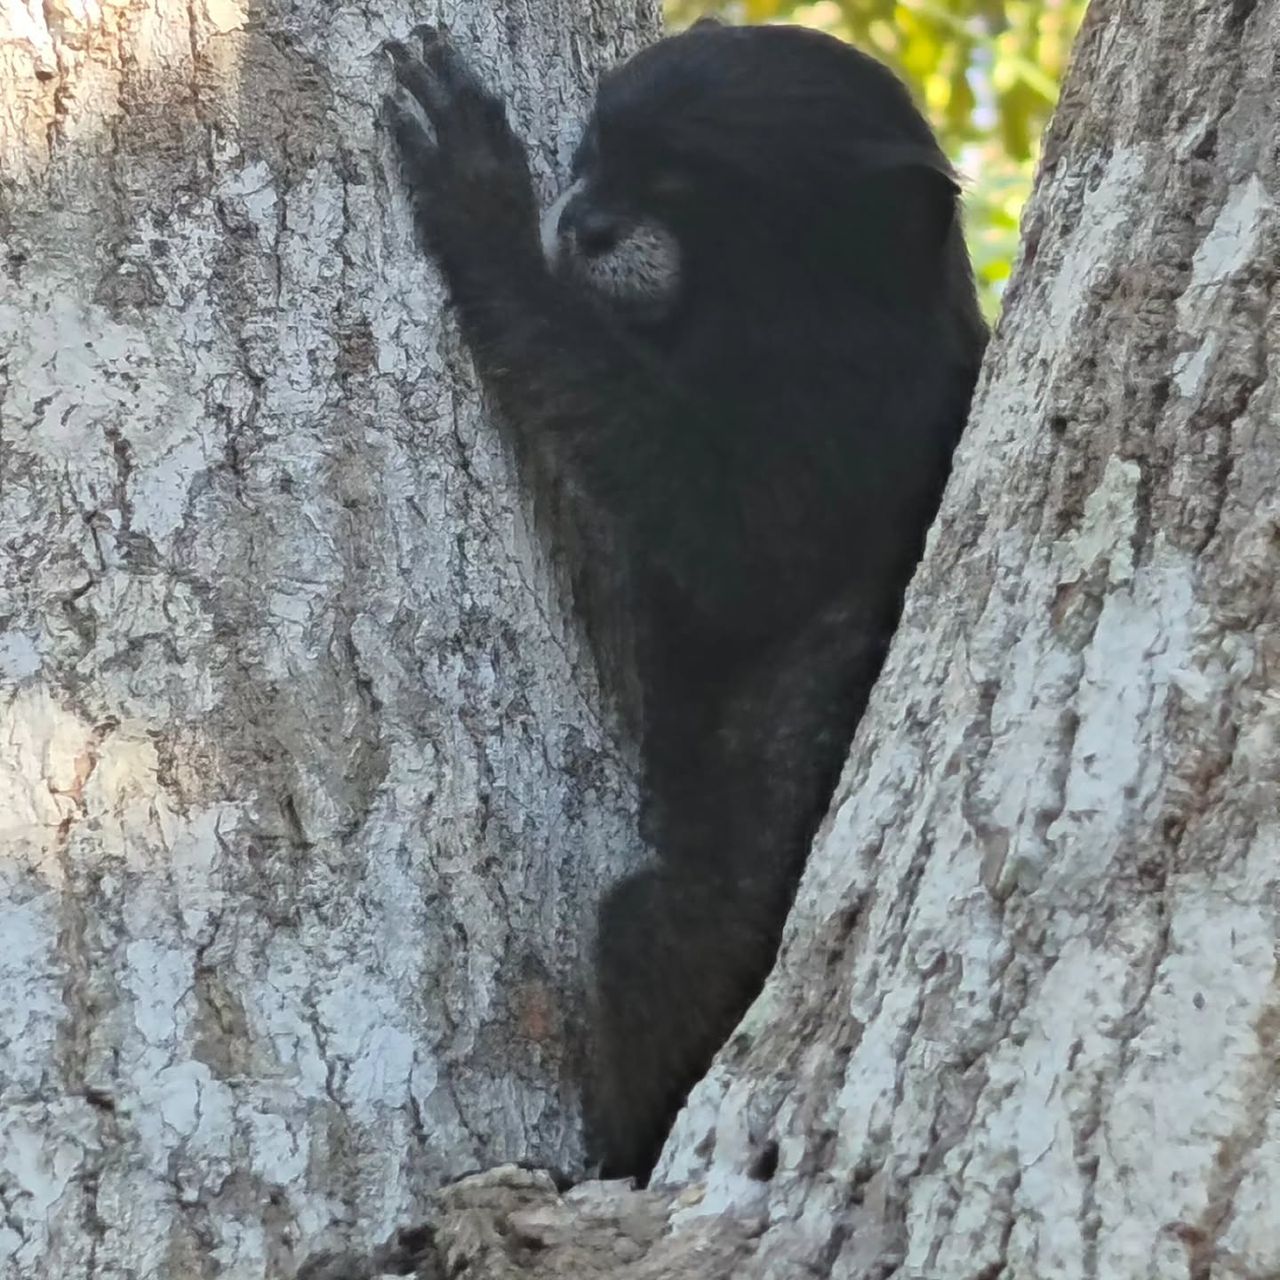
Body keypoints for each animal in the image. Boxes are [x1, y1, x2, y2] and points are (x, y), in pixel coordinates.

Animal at [384, 20, 987, 1183]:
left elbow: (722, 547)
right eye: (592, 157)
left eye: (675, 188)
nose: (582, 219)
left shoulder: (840, 415)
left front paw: (484, 209)